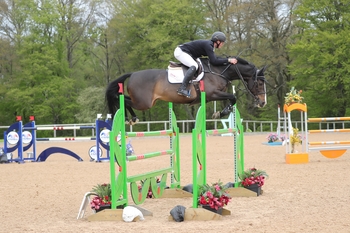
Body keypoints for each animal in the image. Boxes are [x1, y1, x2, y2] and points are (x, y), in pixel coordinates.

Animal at [105, 56, 266, 124]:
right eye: (259, 83)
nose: (263, 103)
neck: (218, 71)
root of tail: (132, 74)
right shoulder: (212, 94)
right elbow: (233, 97)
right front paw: (221, 113)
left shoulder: (212, 96)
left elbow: (231, 98)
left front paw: (221, 112)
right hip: (144, 103)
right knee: (124, 101)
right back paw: (131, 118)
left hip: (143, 101)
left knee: (123, 99)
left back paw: (130, 118)